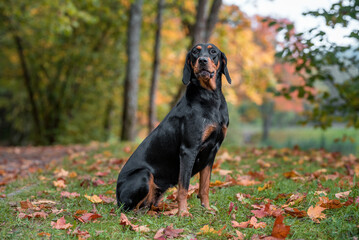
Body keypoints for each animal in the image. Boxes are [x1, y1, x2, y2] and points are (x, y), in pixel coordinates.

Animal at [116, 43, 232, 218]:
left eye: (213, 51)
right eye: (195, 52)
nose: (202, 60)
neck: (210, 98)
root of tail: (116, 196)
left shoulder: (212, 152)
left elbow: (204, 186)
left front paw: (207, 208)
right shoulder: (188, 150)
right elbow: (183, 187)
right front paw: (183, 212)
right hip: (143, 175)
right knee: (129, 209)